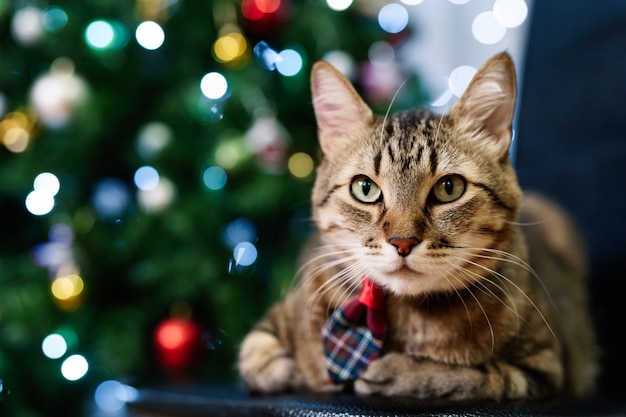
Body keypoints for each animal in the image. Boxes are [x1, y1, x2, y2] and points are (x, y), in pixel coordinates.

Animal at [236, 52, 596, 400]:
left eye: (449, 188)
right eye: (364, 188)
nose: (403, 242)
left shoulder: (544, 368)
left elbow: (475, 376)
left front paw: (398, 372)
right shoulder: (275, 321)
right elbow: (257, 356)